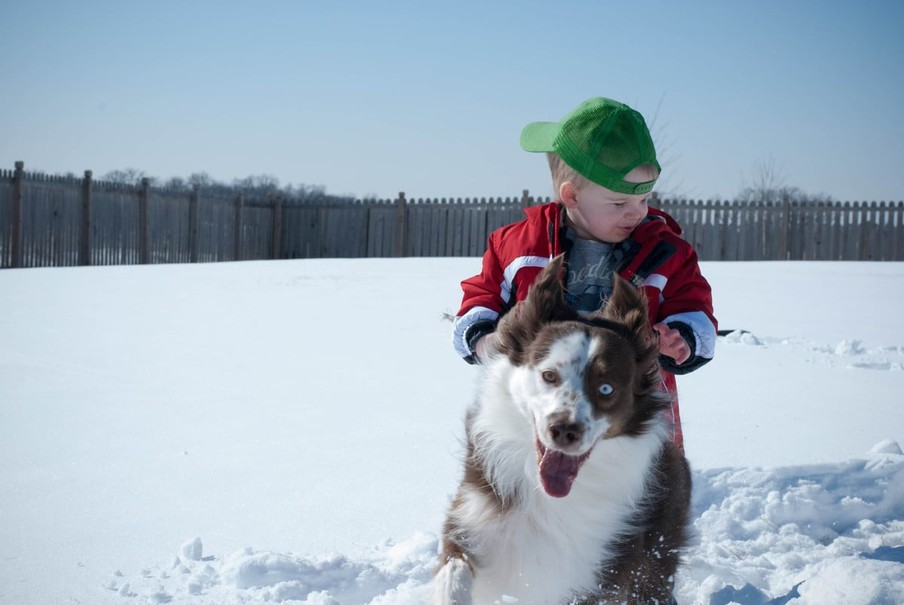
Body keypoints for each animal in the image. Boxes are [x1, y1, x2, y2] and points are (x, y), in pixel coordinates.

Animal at [434, 255, 688, 604]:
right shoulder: (473, 519)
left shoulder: (598, 573)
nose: (565, 430)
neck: (547, 496)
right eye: (549, 375)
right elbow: (454, 570)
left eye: (606, 388)